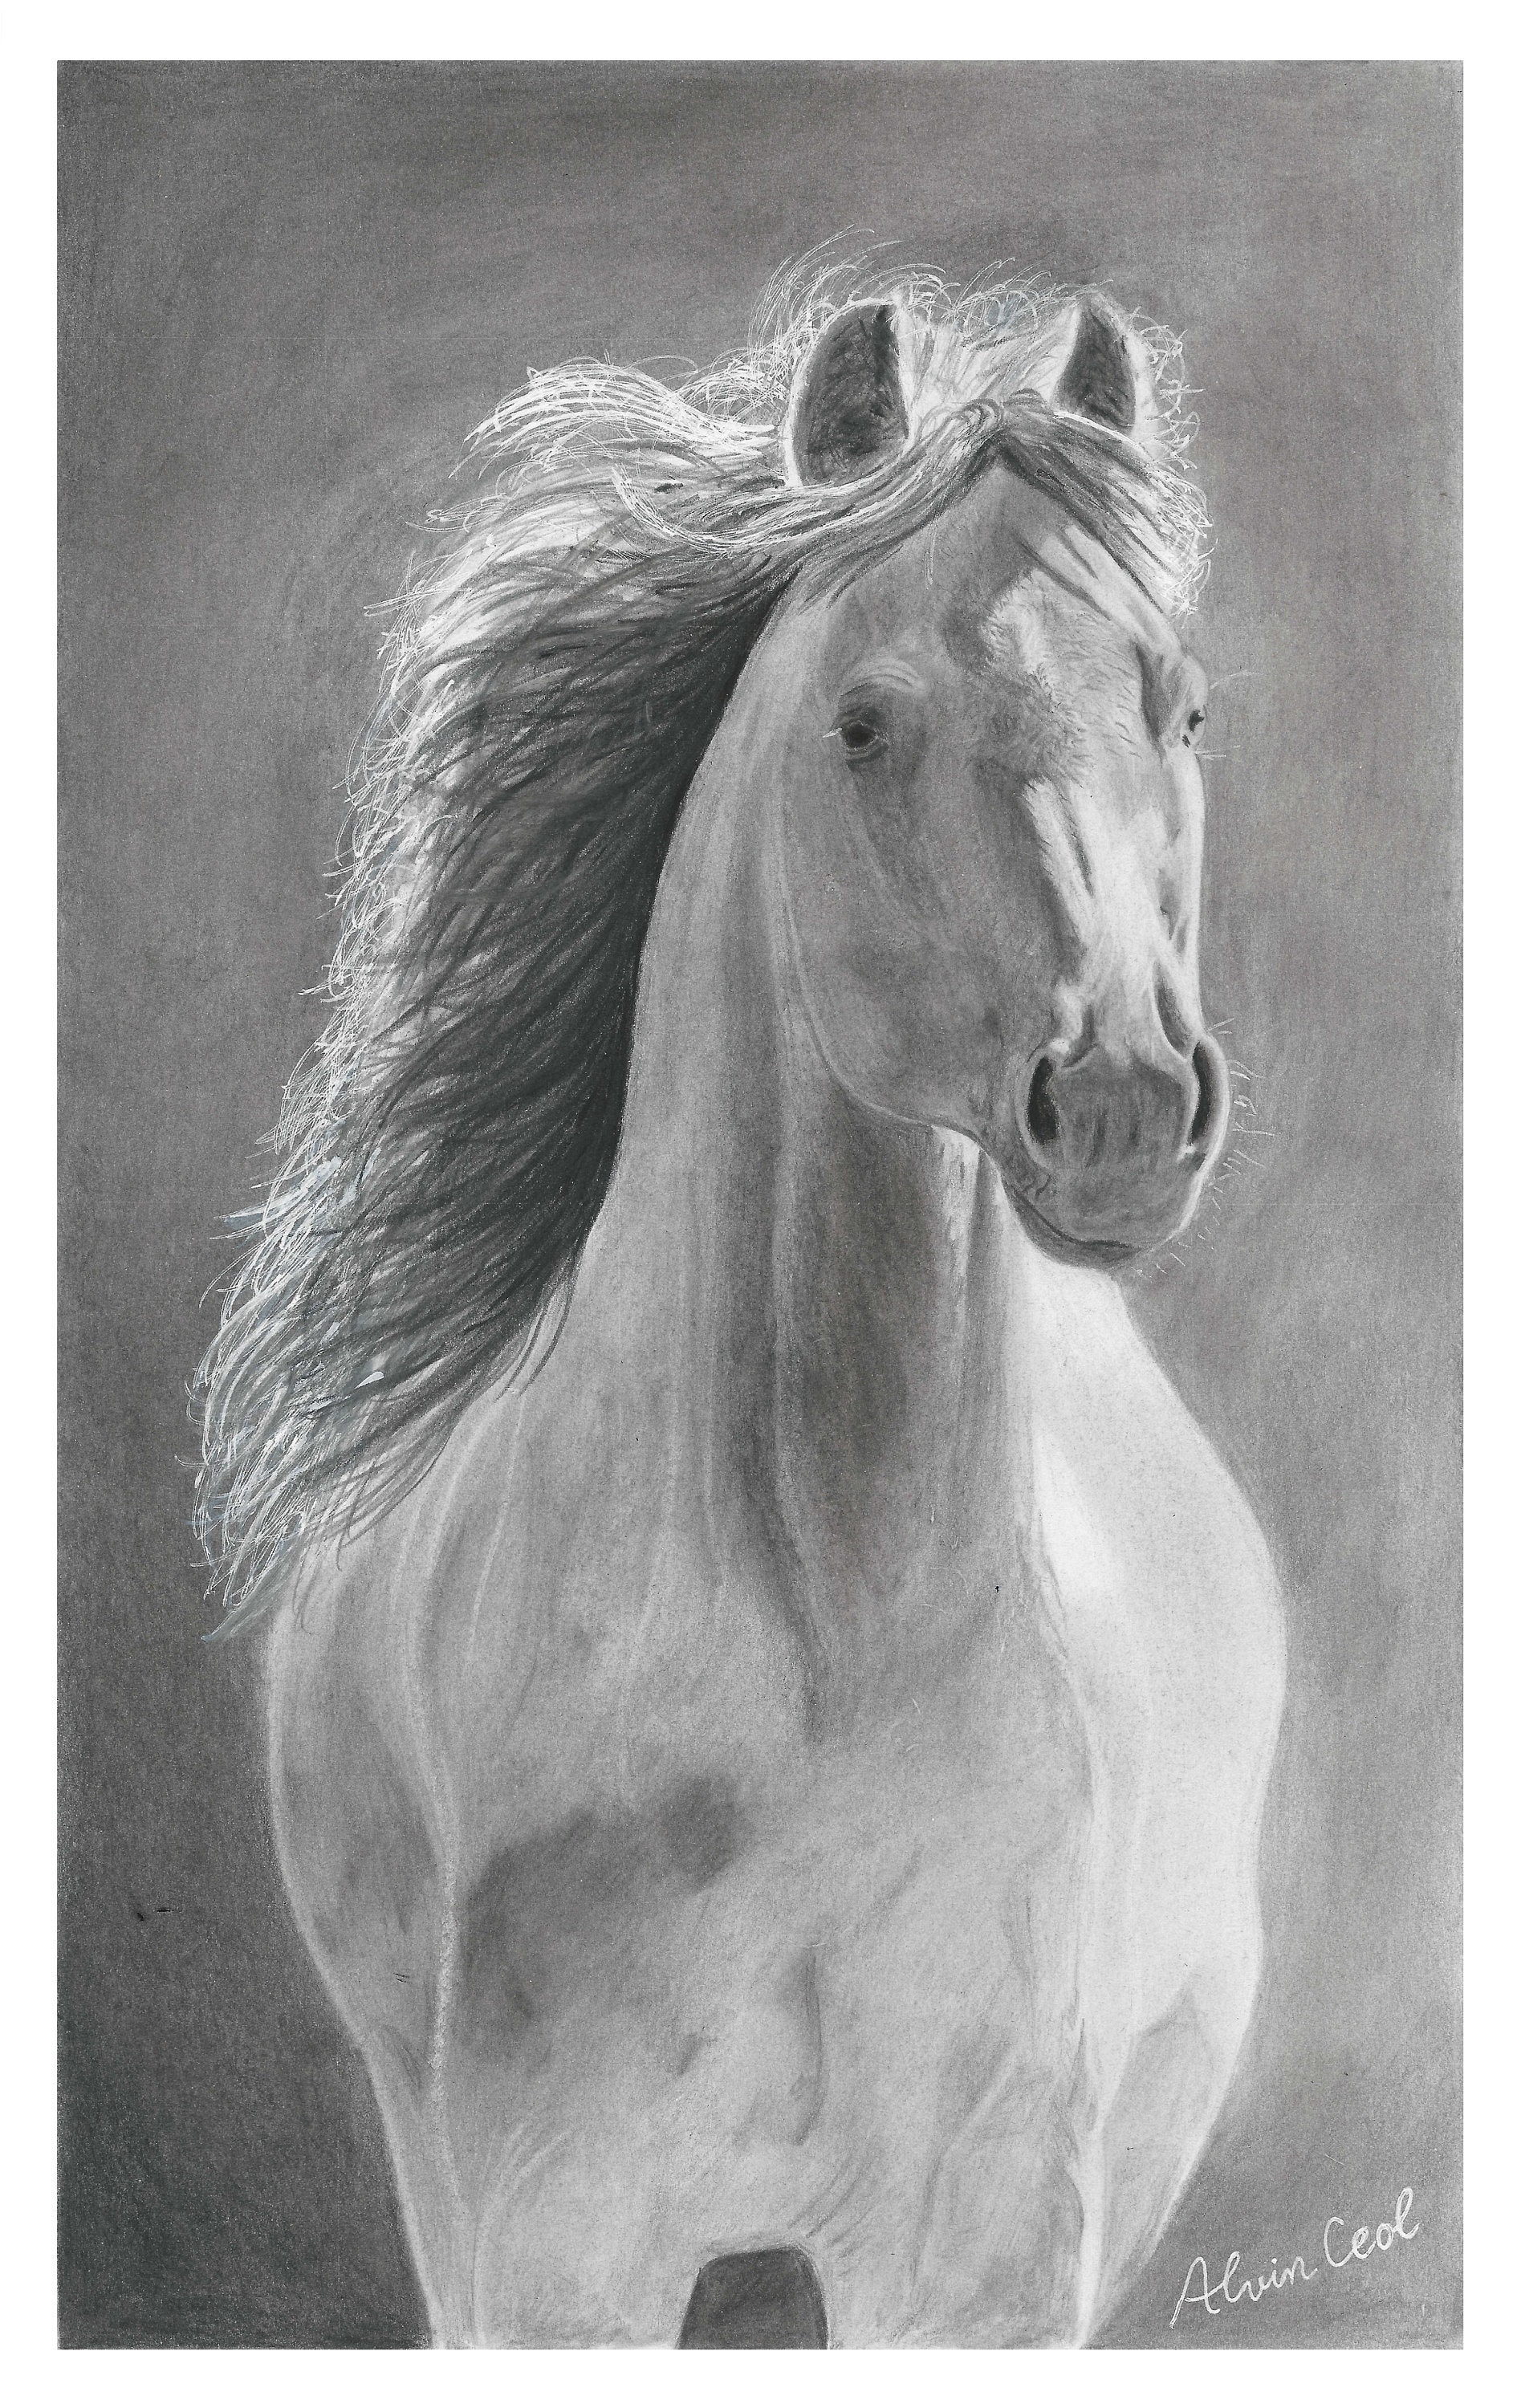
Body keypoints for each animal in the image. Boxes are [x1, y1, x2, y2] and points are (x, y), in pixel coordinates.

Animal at [196, 264, 1285, 2347]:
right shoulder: (553, 2254)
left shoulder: (985, 2264)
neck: (835, 1639)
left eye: (1180, 705)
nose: (1117, 1103)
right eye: (861, 722)